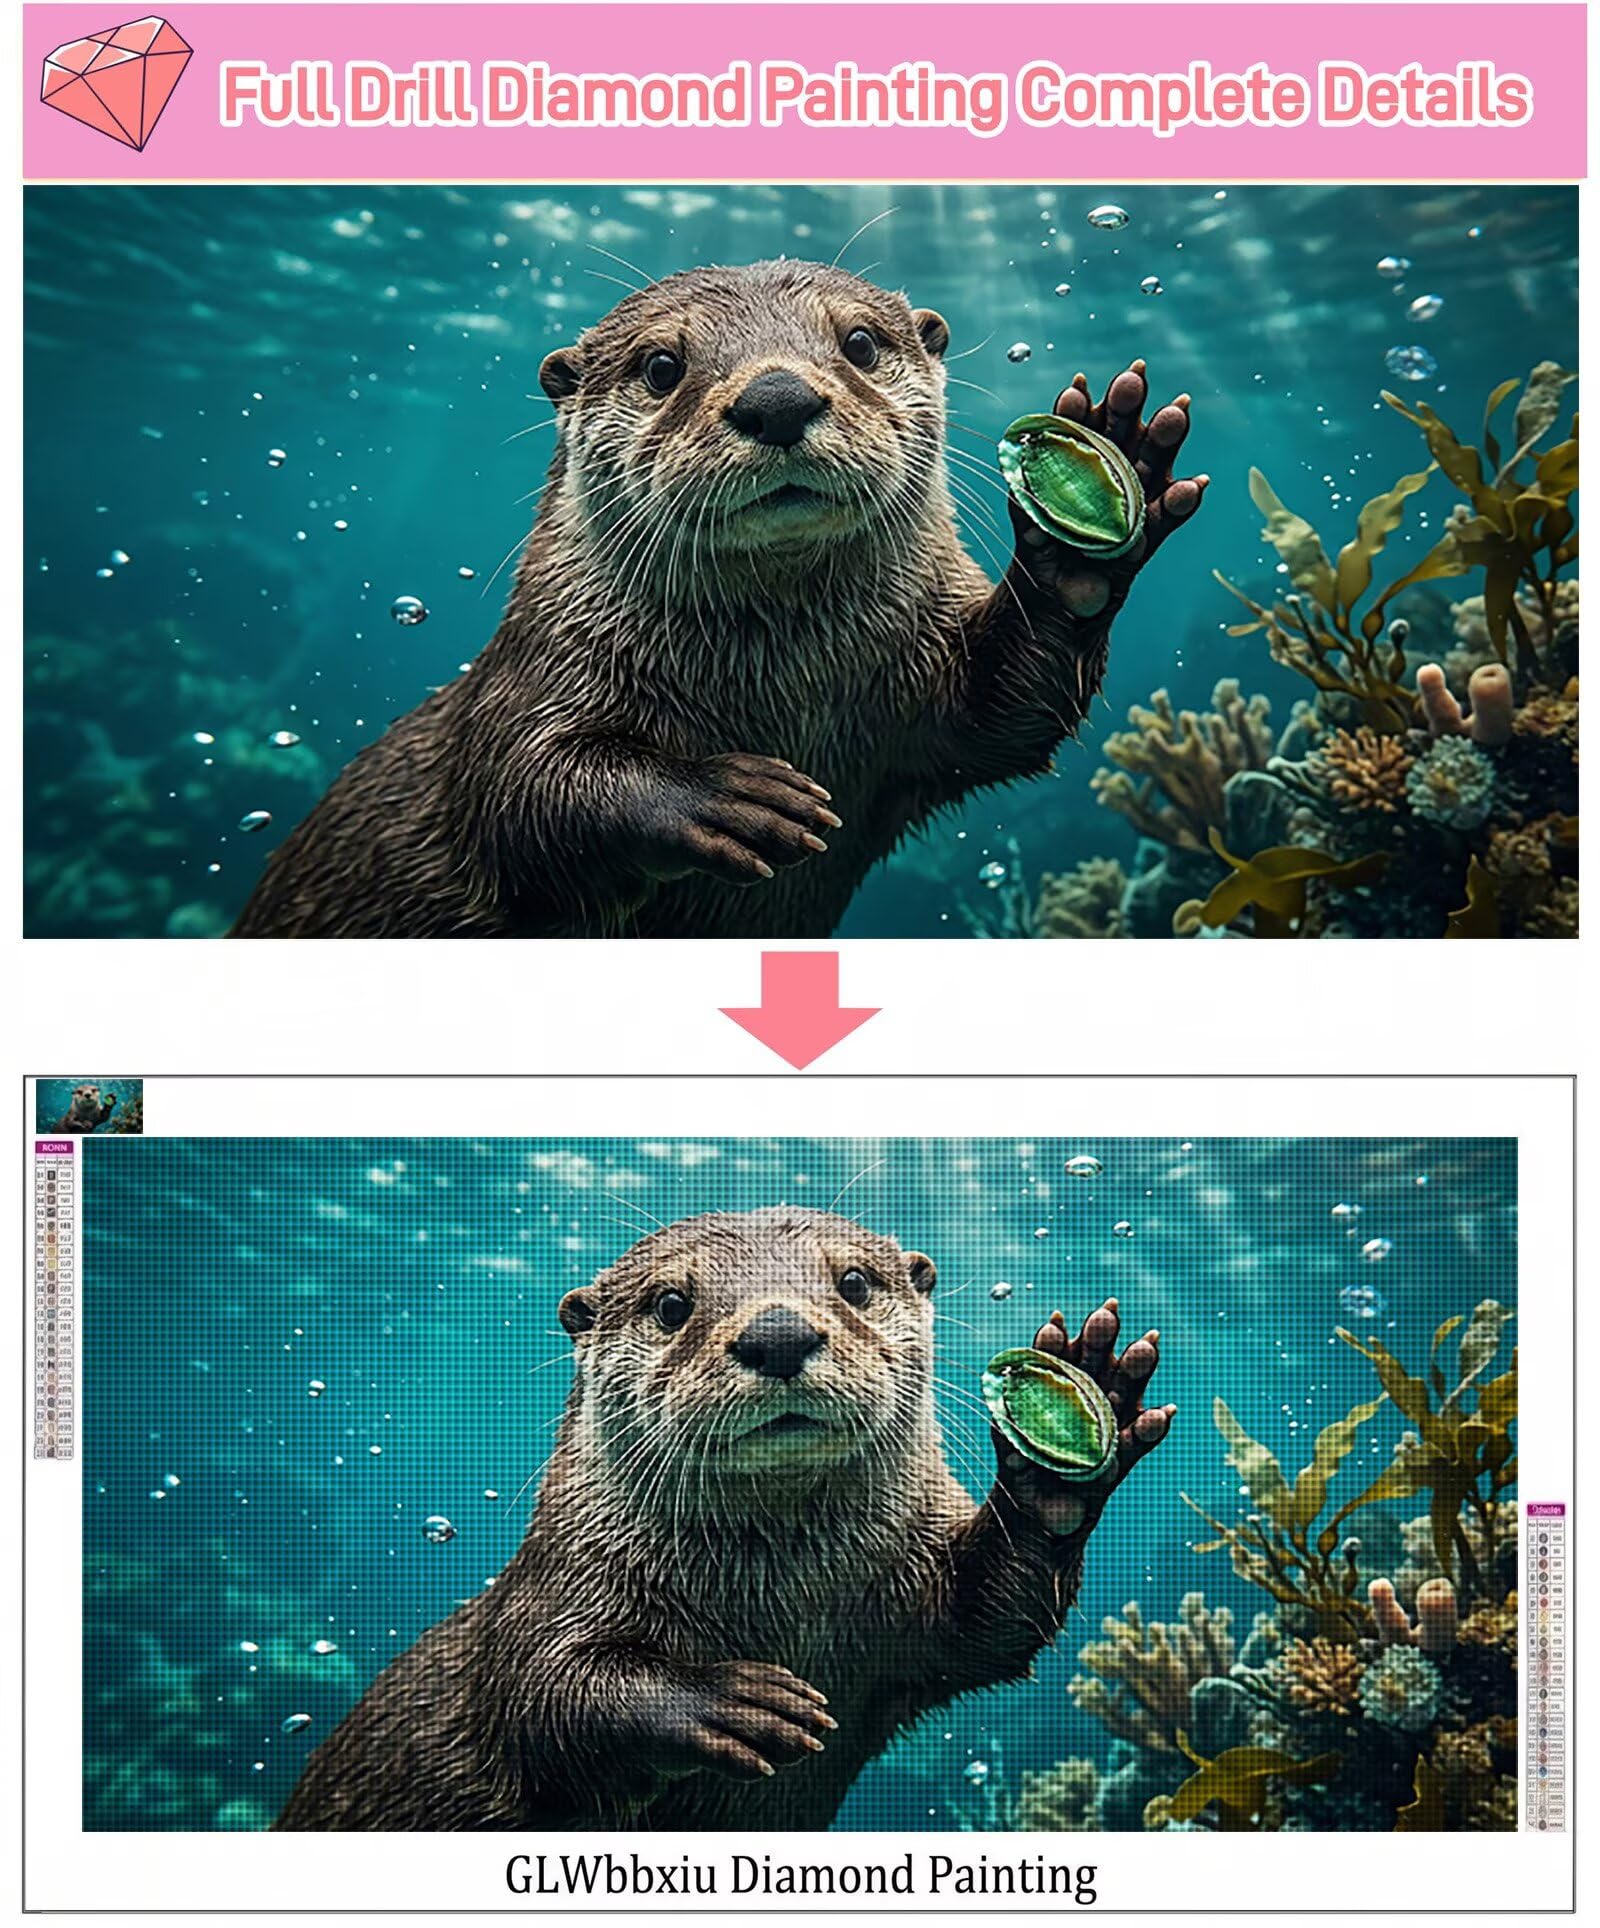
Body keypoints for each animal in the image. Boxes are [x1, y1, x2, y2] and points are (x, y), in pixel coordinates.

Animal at [232, 260, 1204, 937]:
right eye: (664, 365)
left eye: (859, 344)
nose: (777, 396)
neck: (782, 685)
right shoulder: (529, 683)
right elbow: (522, 792)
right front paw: (722, 798)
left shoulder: (926, 694)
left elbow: (1011, 715)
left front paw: (1089, 515)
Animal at [275, 1208, 1173, 1831]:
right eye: (673, 1302)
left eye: (854, 1283)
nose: (777, 1332)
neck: (778, 1602)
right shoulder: (551, 1595)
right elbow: (545, 1693)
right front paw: (728, 1701)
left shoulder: (913, 1603)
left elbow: (994, 1624)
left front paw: (1064, 1439)